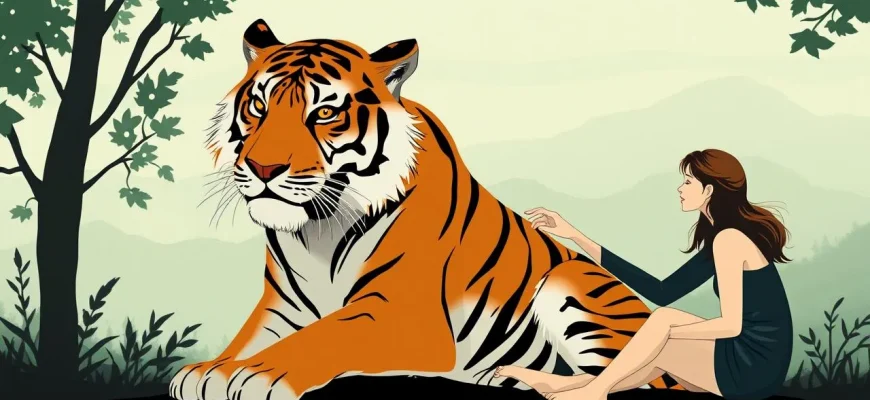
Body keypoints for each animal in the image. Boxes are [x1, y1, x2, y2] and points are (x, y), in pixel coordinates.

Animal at [168, 19, 686, 400]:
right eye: (258, 106)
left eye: (324, 113)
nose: (263, 167)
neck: (318, 231)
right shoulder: (281, 309)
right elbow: (248, 340)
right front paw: (209, 371)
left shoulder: (400, 313)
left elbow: (322, 337)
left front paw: (256, 375)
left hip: (571, 284)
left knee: (626, 381)